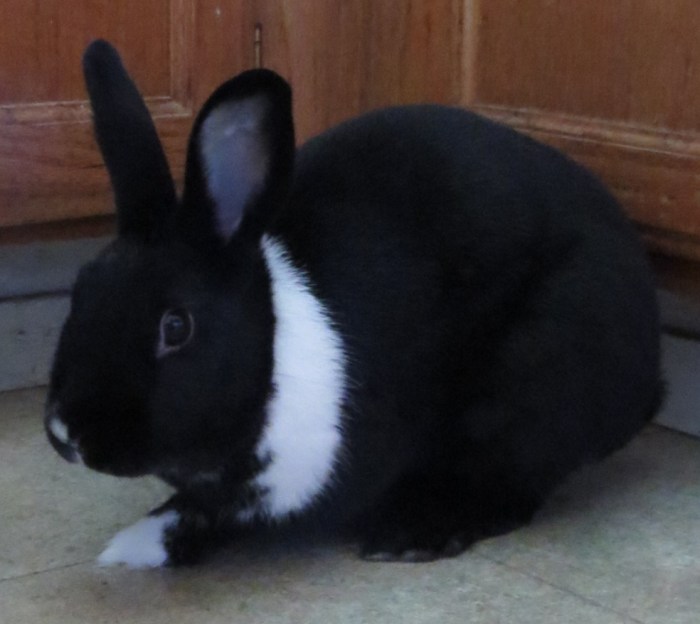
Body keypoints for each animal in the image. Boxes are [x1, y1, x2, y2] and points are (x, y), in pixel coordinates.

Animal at [45, 39, 662, 568]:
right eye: (80, 290)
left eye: (176, 327)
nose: (65, 433)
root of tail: (651, 374)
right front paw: (138, 541)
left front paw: (138, 545)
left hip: (537, 375)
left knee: (510, 482)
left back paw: (410, 535)